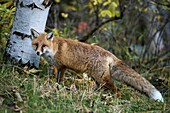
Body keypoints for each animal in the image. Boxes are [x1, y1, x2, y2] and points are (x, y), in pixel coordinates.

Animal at [30, 28, 163, 101]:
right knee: (101, 88)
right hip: (97, 78)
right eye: (36, 45)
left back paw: (115, 100)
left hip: (102, 79)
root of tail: (109, 53)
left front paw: (57, 88)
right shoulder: (57, 67)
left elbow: (59, 81)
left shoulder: (62, 67)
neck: (55, 49)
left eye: (44, 46)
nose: (37, 53)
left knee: (117, 90)